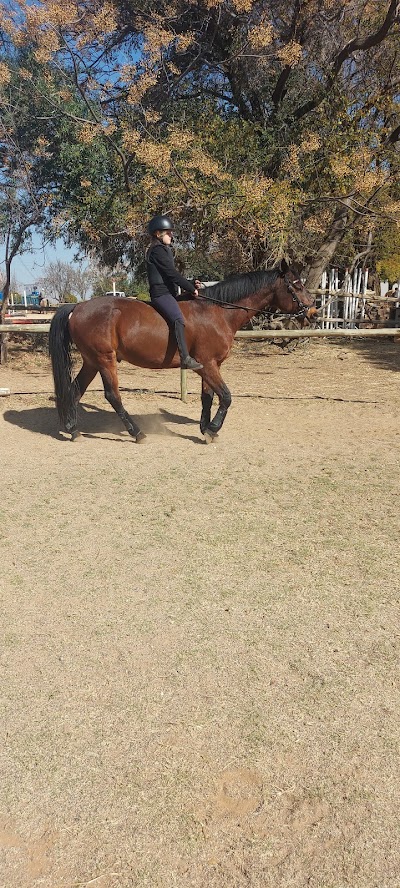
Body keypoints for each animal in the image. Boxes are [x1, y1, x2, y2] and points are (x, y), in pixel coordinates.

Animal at [48, 259, 316, 444]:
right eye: (297, 285)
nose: (313, 312)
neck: (217, 312)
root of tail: (78, 307)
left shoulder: (211, 365)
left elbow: (208, 397)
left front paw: (205, 429)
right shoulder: (207, 364)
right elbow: (226, 396)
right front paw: (213, 428)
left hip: (92, 361)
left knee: (75, 390)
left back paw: (73, 430)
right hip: (105, 360)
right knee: (112, 395)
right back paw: (137, 433)